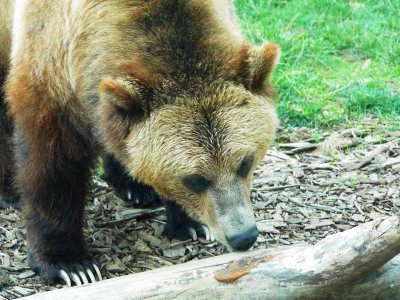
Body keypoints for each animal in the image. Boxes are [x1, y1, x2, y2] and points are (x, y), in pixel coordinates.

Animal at [0, 0, 280, 286]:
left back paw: (135, 188)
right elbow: (53, 166)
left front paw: (191, 223)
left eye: (245, 163)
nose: (244, 236)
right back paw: (11, 191)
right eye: (195, 179)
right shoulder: (53, 67)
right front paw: (70, 265)